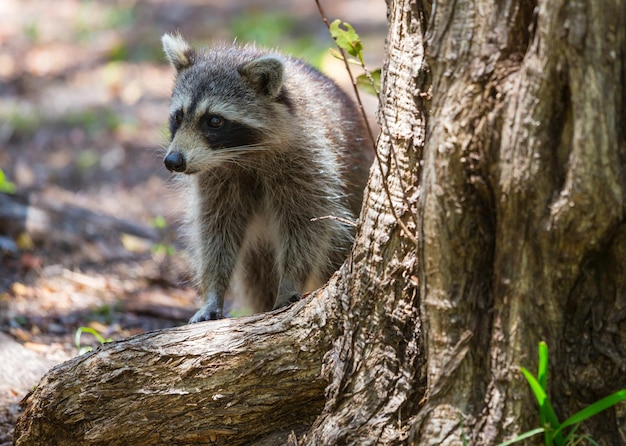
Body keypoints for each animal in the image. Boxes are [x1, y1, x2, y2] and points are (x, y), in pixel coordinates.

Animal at [161, 33, 370, 322]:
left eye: (214, 121)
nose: (173, 161)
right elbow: (215, 229)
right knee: (256, 278)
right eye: (178, 116)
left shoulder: (309, 160)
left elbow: (307, 225)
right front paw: (213, 291)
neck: (241, 155)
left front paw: (291, 280)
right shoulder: (216, 178)